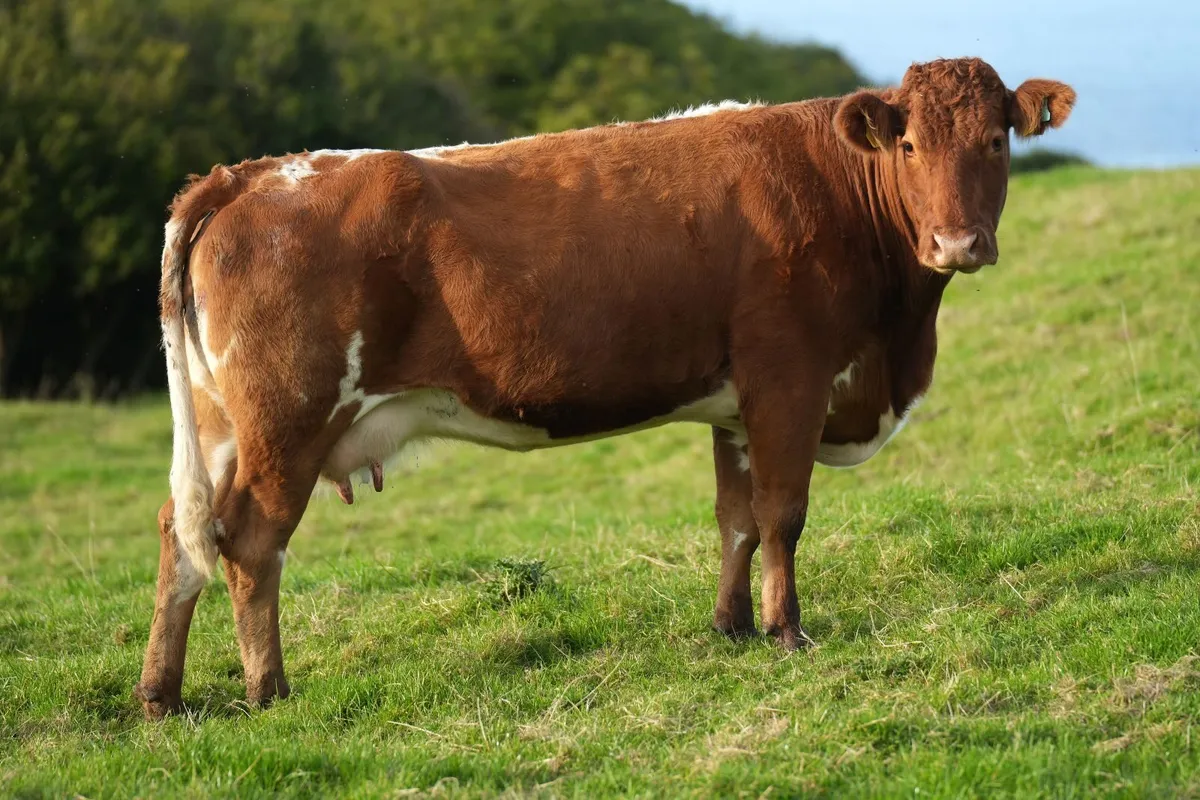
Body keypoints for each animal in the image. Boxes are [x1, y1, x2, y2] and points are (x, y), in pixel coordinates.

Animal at [134, 57, 1074, 719]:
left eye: (996, 141)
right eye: (910, 145)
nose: (958, 242)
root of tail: (249, 174)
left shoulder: (736, 403)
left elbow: (736, 517)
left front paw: (732, 627)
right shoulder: (789, 378)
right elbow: (782, 515)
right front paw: (787, 632)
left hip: (222, 428)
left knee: (181, 533)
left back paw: (163, 696)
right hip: (287, 422)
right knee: (250, 544)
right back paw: (268, 690)